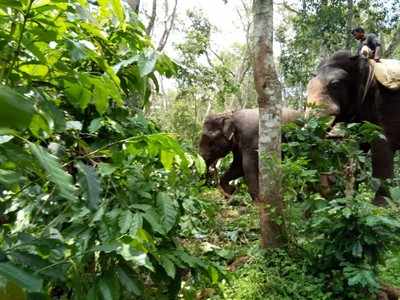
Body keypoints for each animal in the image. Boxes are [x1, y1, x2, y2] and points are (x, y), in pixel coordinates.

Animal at [306, 51, 400, 205]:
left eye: (335, 84)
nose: (328, 184)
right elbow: (359, 148)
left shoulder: (383, 104)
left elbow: (381, 145)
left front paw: (381, 205)